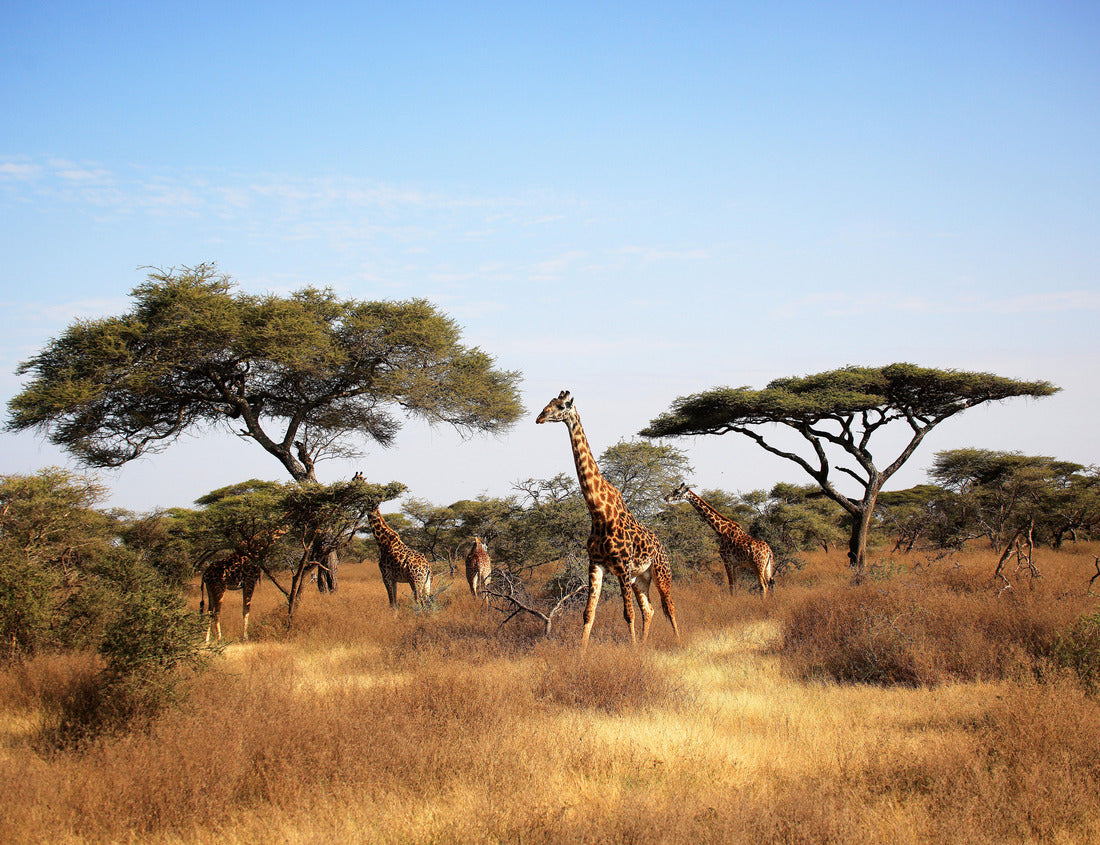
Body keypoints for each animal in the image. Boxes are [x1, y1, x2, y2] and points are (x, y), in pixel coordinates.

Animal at [537, 389, 680, 649]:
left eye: (562, 406)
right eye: (549, 403)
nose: (540, 417)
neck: (598, 512)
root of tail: (662, 546)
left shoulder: (622, 566)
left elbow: (627, 613)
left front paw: (632, 651)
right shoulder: (596, 564)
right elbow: (588, 613)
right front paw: (581, 653)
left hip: (661, 572)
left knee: (669, 606)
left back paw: (678, 641)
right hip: (640, 578)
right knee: (650, 610)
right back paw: (645, 644)